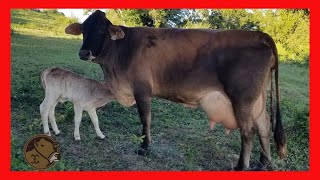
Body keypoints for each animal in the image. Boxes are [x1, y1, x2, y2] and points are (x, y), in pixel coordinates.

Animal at [65, 9, 288, 170]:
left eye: (102, 30)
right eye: (84, 30)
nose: (84, 53)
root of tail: (259, 35)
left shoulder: (142, 90)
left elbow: (145, 119)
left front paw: (144, 148)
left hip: (242, 99)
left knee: (248, 132)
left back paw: (241, 166)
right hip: (257, 100)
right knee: (264, 125)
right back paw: (263, 163)